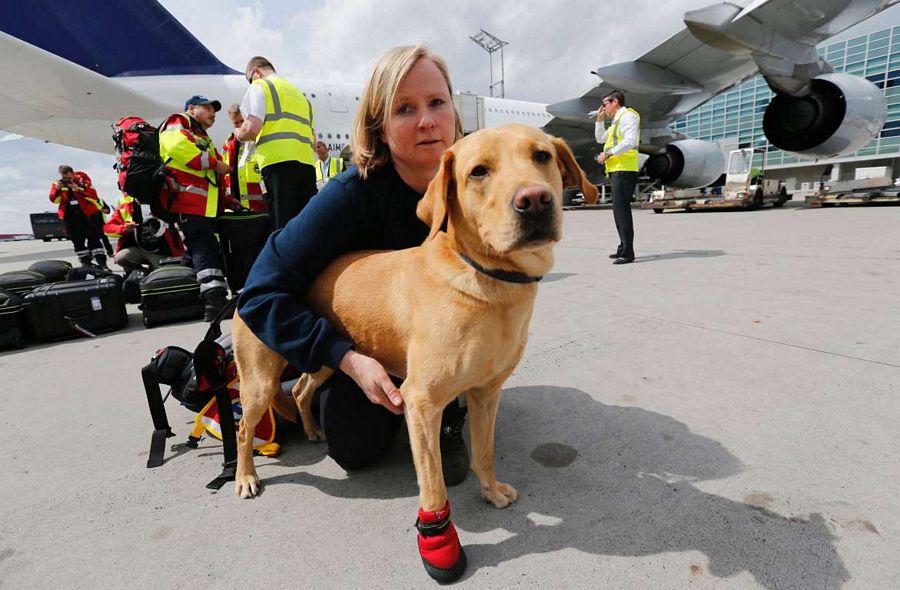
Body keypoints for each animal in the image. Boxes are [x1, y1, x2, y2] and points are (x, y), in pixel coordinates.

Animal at [232, 122, 596, 576]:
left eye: (542, 156)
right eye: (478, 172)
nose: (535, 200)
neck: (488, 280)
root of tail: (248, 280)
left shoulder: (485, 393)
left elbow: (485, 453)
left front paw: (491, 491)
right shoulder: (420, 403)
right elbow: (434, 486)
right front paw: (439, 540)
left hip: (327, 359)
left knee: (300, 390)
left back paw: (313, 429)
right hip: (260, 382)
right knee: (244, 428)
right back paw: (245, 477)